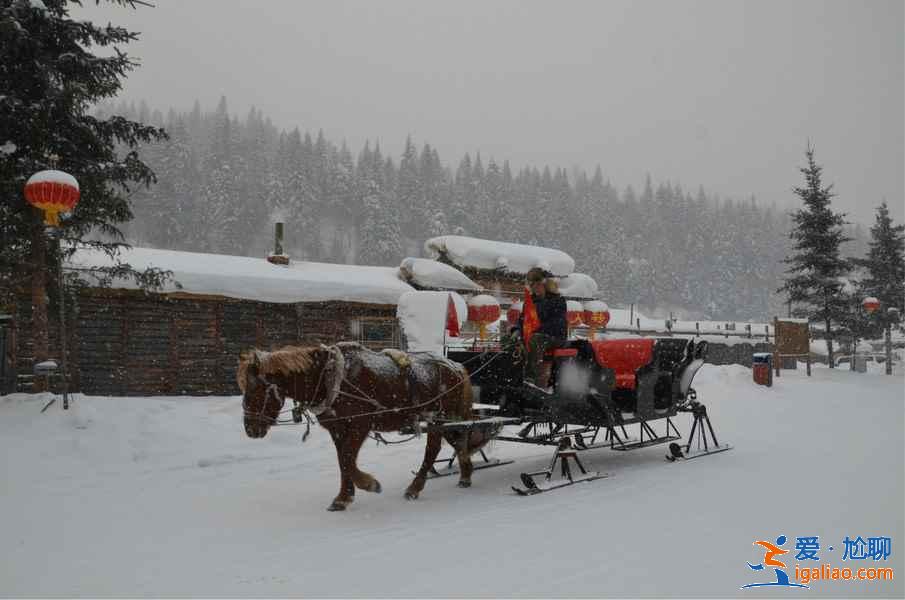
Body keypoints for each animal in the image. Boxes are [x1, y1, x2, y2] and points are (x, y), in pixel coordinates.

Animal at [238, 342, 494, 510]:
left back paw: (416, 487)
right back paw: (465, 474)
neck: (332, 378)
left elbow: (348, 459)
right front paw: (344, 497)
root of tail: (455, 366)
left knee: (433, 449)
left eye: (256, 389)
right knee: (457, 441)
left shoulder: (360, 424)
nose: (250, 430)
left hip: (440, 416)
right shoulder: (337, 428)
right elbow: (343, 460)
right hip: (444, 418)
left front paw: (369, 484)